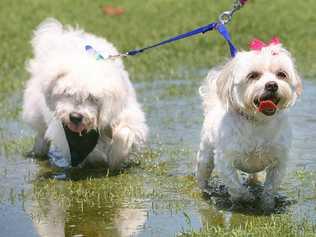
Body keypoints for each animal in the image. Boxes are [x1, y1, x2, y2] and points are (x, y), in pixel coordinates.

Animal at [22, 18, 148, 170]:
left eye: (92, 97)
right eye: (66, 92)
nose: (75, 117)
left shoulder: (126, 114)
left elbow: (124, 133)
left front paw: (116, 158)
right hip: (36, 108)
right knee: (41, 131)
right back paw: (39, 150)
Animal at [196, 38, 302, 210]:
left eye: (281, 74)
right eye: (253, 75)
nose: (272, 84)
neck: (257, 121)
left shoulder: (279, 161)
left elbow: (271, 186)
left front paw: (267, 204)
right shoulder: (224, 160)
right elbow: (235, 185)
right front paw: (246, 199)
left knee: (254, 175)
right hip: (205, 155)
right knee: (203, 173)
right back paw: (205, 191)